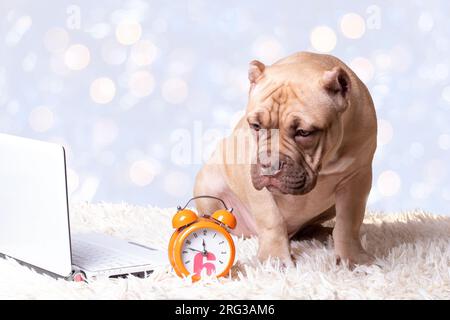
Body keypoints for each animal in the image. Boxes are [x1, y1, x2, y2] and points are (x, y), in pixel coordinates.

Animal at [193, 52, 376, 268]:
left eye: (304, 132)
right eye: (256, 126)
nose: (269, 164)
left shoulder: (357, 179)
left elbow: (348, 221)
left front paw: (352, 259)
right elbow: (271, 219)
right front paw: (274, 259)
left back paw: (323, 234)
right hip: (207, 188)